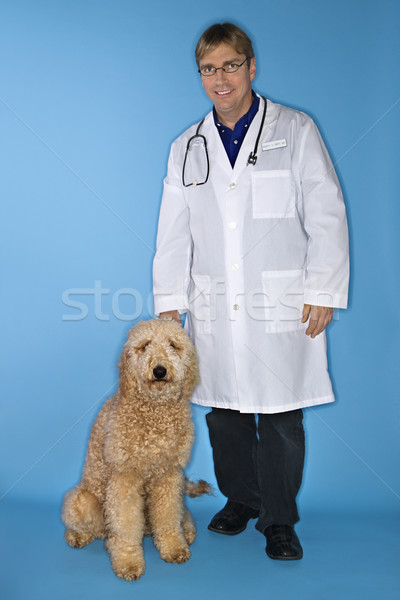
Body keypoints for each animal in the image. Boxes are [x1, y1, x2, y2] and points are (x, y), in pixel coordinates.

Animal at [61, 318, 211, 580]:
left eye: (173, 345)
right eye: (145, 345)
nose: (159, 370)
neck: (155, 412)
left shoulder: (169, 476)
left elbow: (168, 516)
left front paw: (174, 547)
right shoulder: (125, 478)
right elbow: (126, 524)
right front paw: (128, 561)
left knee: (181, 514)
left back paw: (188, 531)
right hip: (84, 500)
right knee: (91, 525)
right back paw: (78, 535)